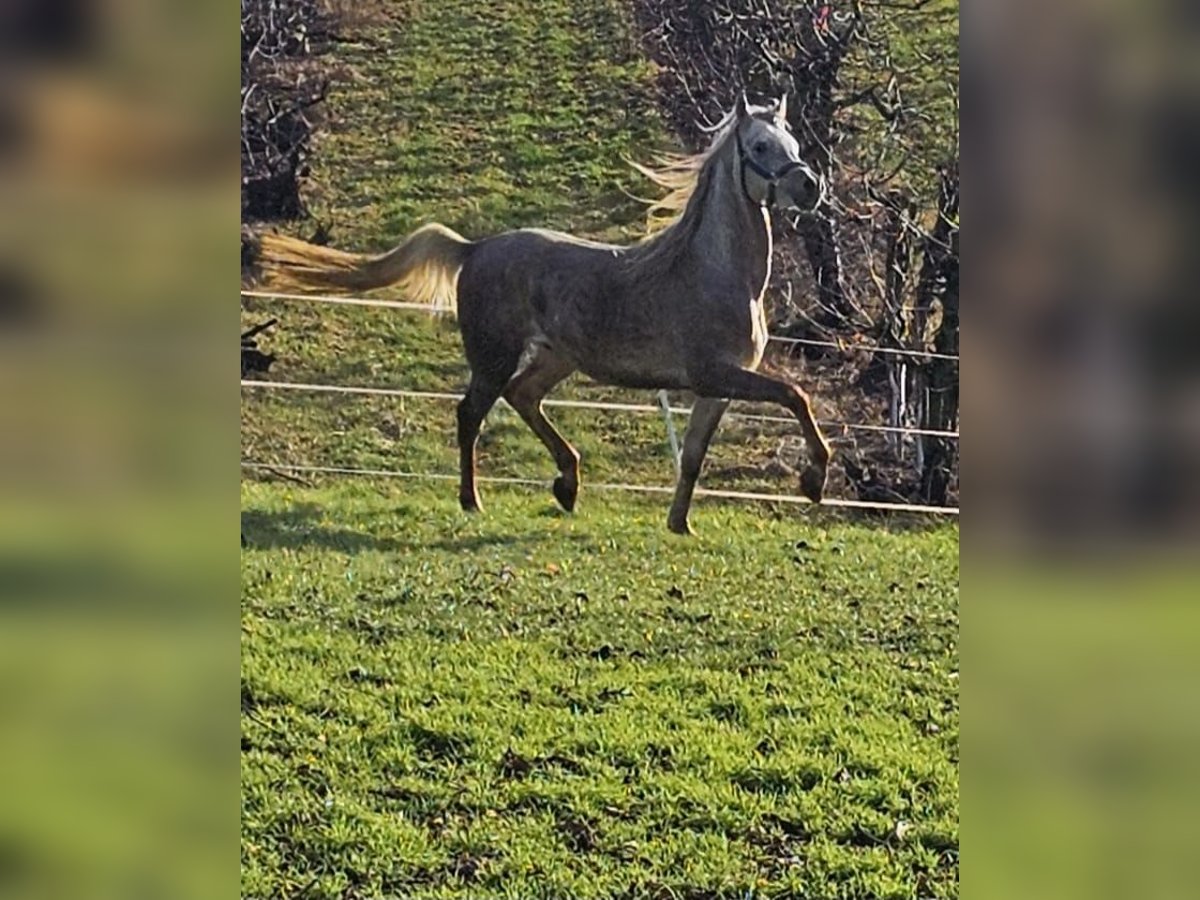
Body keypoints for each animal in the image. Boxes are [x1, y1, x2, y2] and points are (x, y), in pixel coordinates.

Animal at [253, 97, 835, 535]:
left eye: (794, 144)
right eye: (760, 147)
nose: (810, 186)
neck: (714, 271)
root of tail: (473, 249)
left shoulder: (715, 387)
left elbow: (693, 455)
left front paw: (679, 524)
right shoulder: (714, 373)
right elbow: (795, 396)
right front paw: (813, 481)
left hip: (556, 358)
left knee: (523, 396)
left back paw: (568, 484)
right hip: (493, 357)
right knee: (471, 413)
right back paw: (474, 500)